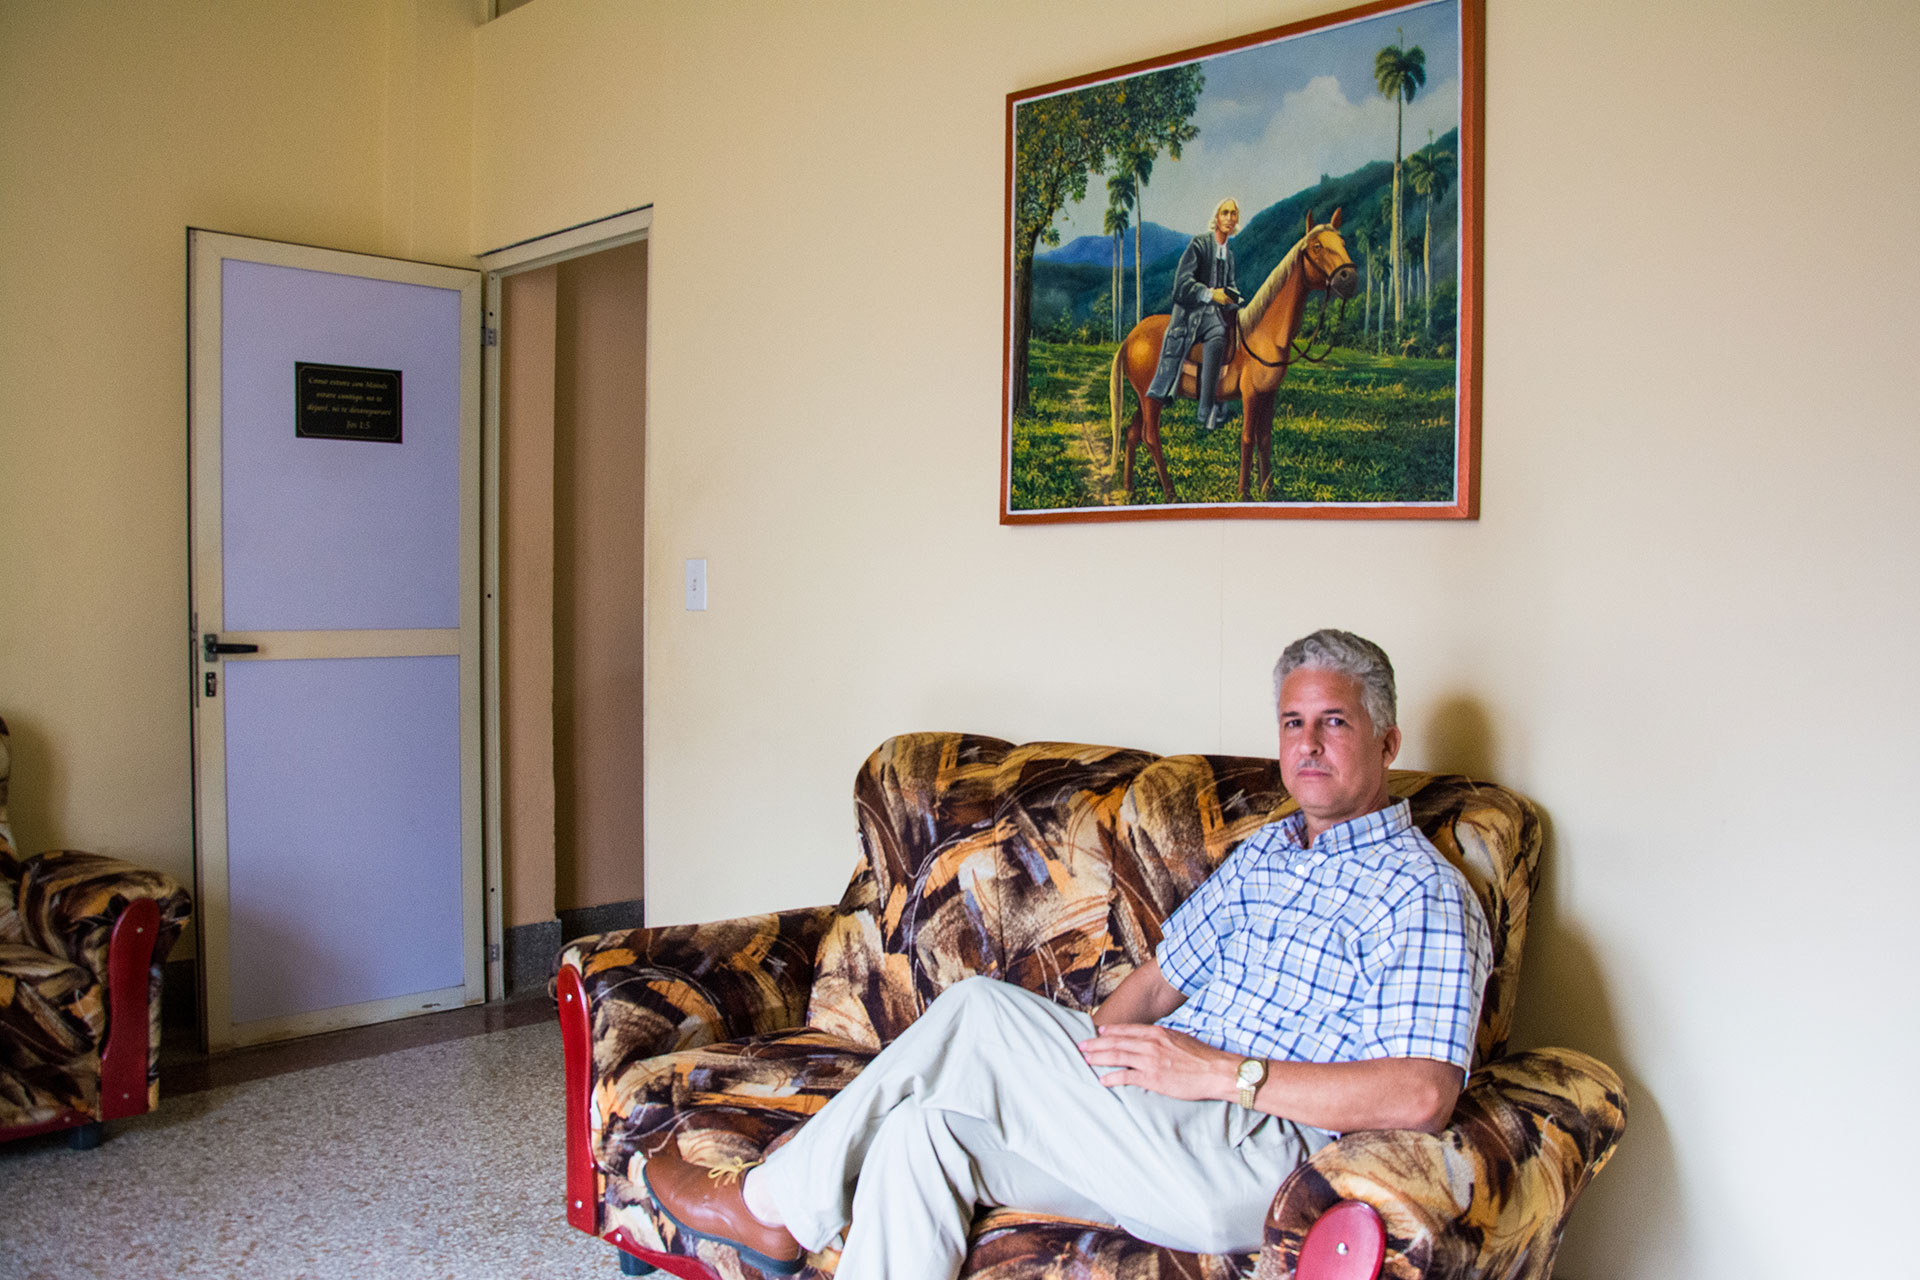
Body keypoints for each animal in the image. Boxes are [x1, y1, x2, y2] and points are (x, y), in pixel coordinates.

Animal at [1113, 209, 1367, 498]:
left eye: (1343, 243)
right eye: (1317, 246)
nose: (1350, 279)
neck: (1265, 335)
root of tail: (1130, 338)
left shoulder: (1269, 395)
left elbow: (1265, 438)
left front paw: (1267, 491)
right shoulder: (1251, 395)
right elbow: (1247, 439)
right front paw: (1243, 493)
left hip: (1144, 396)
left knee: (1132, 433)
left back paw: (1129, 489)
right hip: (1151, 400)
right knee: (1150, 436)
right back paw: (1170, 493)